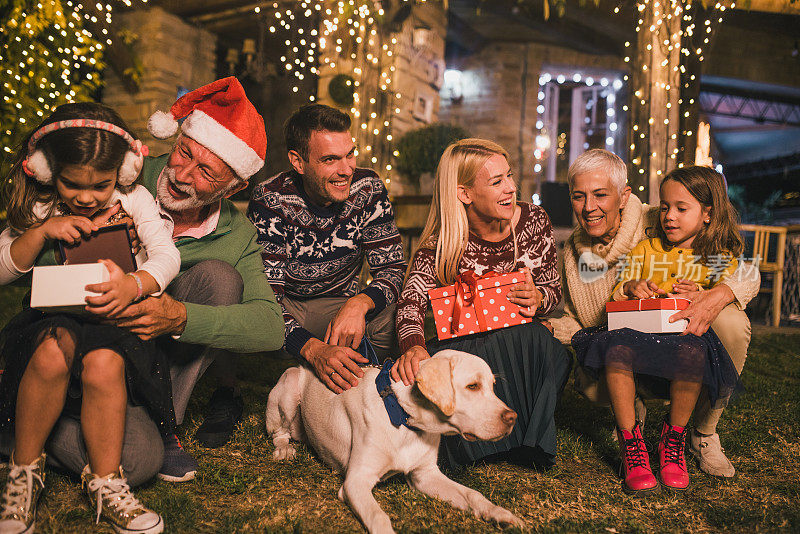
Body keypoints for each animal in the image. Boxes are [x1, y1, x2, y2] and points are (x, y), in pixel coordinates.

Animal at [266, 350, 520, 532]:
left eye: (492, 386)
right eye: (473, 386)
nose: (512, 418)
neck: (404, 419)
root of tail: (304, 364)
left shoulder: (425, 475)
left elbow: (472, 494)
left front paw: (498, 513)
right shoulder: (355, 482)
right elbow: (379, 517)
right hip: (288, 389)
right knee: (279, 433)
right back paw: (284, 450)